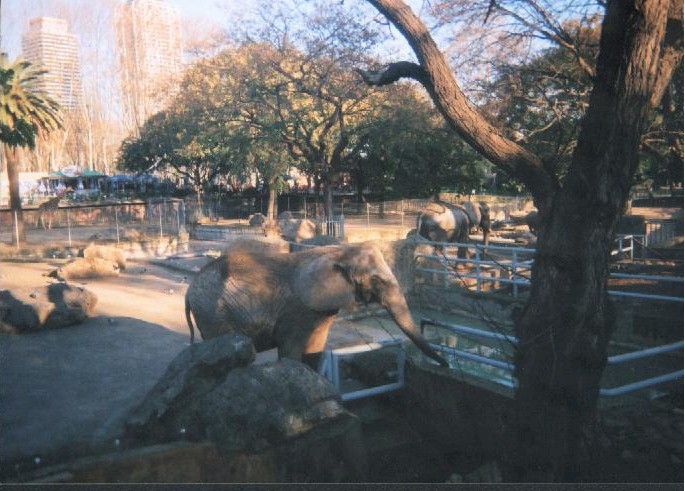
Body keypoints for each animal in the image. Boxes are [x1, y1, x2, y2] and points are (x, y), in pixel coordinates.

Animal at [185, 241, 448, 368]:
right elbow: (290, 351)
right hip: (214, 313)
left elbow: (315, 351)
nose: (446, 364)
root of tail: (188, 290)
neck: (339, 252)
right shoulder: (296, 310)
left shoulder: (318, 312)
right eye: (376, 280)